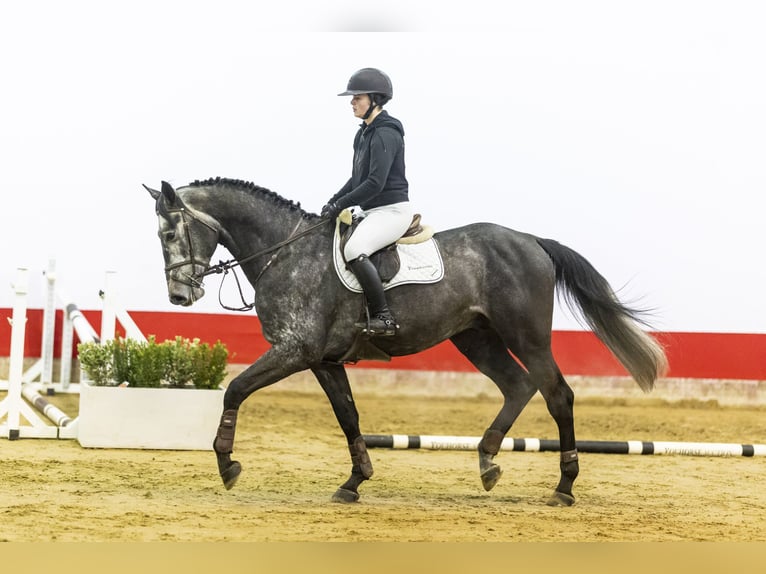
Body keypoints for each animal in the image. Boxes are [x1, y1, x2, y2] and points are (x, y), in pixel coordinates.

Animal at [147, 178, 668, 506]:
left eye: (170, 233)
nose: (179, 296)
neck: (285, 252)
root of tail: (531, 240)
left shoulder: (295, 351)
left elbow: (235, 390)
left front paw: (227, 466)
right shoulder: (322, 360)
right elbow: (348, 416)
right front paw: (354, 482)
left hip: (528, 336)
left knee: (557, 394)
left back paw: (563, 487)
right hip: (474, 338)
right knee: (518, 386)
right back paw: (487, 463)